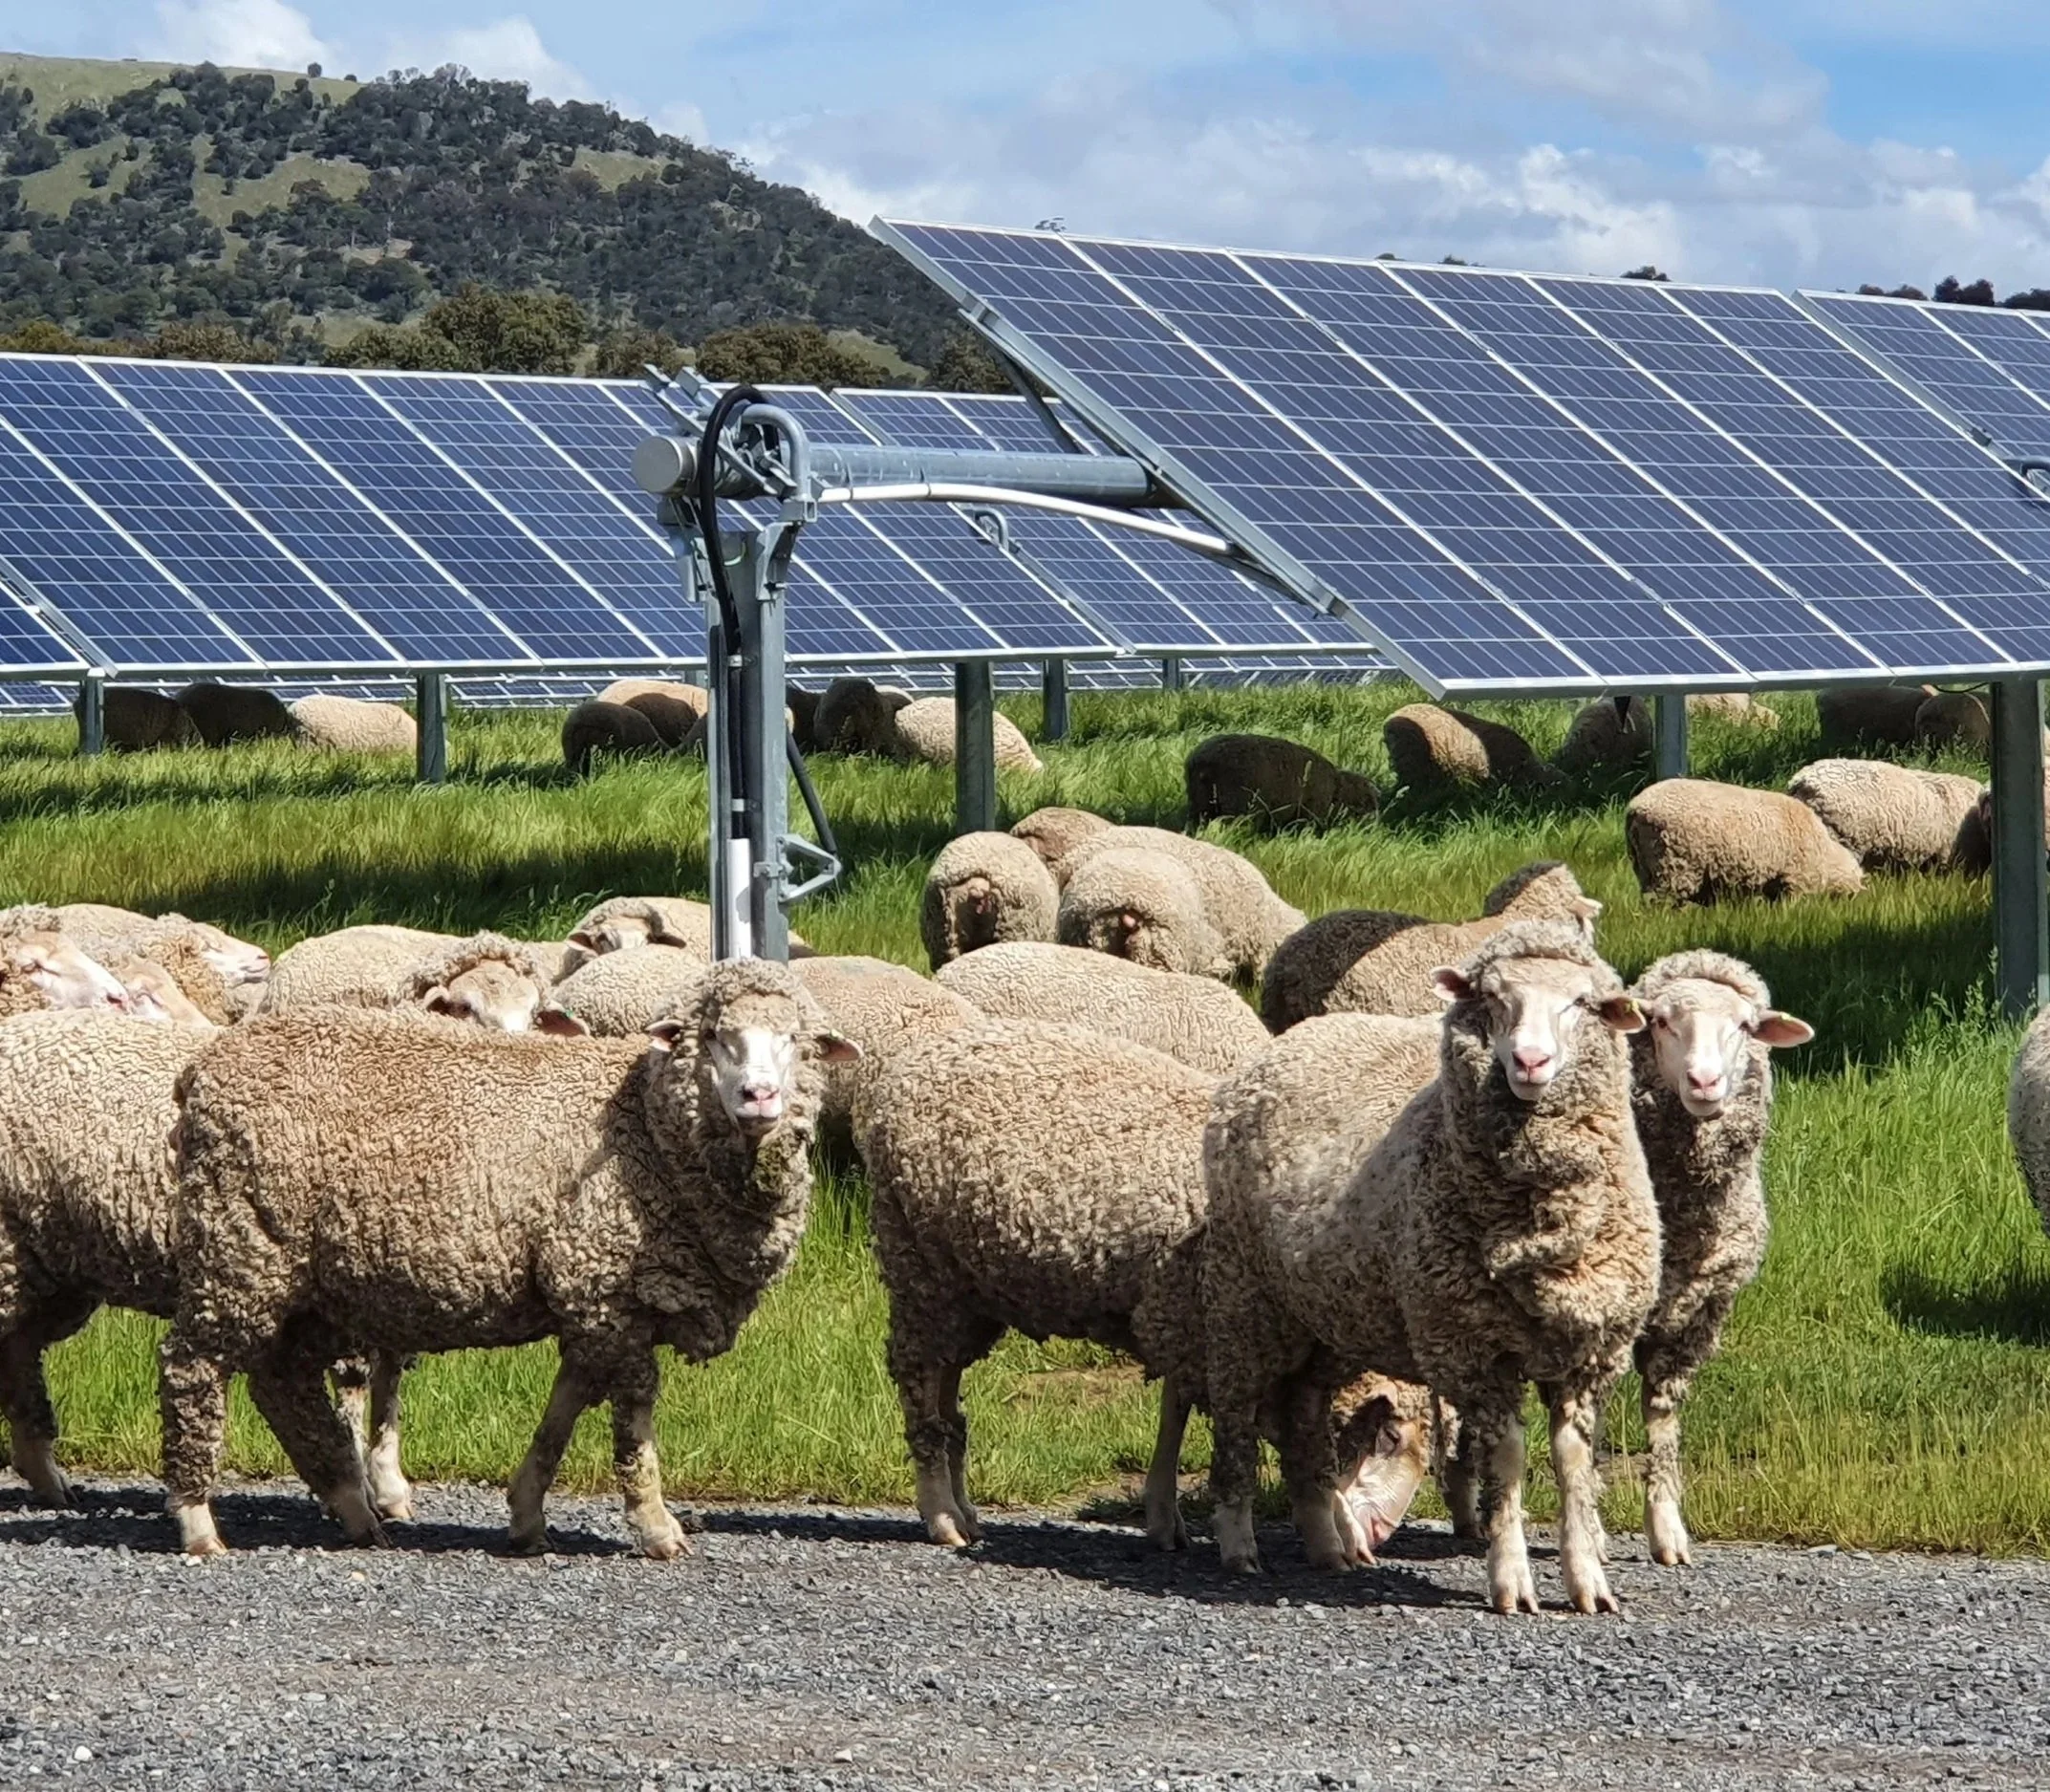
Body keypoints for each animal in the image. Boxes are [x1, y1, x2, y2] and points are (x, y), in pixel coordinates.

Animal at [159, 959, 857, 1556]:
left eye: (796, 1040)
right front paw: (656, 1525)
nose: (759, 1096)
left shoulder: (590, 1297)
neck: (648, 1127)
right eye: (714, 1036)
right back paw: (198, 1519)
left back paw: (353, 1508)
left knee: (282, 1380)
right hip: (239, 1245)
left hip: (303, 1277)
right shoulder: (607, 1286)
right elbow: (634, 1418)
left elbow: (563, 1409)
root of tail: (204, 1068)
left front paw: (526, 1513)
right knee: (191, 1366)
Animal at [1183, 733, 1378, 829]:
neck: (1337, 790)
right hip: (1235, 806)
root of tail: (1200, 762)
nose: (1372, 827)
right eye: (1366, 803)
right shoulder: (1309, 814)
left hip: (1200, 805)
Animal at [1201, 922, 1660, 1614]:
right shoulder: (1474, 1346)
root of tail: (1295, 1037)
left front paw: (1588, 1582)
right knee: (1235, 1415)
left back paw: (1325, 1544)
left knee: (1304, 1414)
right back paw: (1238, 1544)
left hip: (1330, 1319)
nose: (1528, 1062)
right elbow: (1507, 1460)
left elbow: (1574, 1464)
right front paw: (1511, 1579)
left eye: (1580, 1003)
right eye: (1492, 998)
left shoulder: (1590, 1350)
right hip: (1244, 1298)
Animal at [1625, 779, 1864, 904]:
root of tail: (1637, 807)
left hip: (1645, 865)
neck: (1826, 854)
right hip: (1674, 865)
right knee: (1660, 901)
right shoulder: (1797, 879)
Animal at [1627, 951, 1812, 1568]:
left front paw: (1667, 1531)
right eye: (1661, 1022)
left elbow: (1663, 1421)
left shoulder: (1694, 1312)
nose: (1704, 1081)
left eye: (1745, 1026)